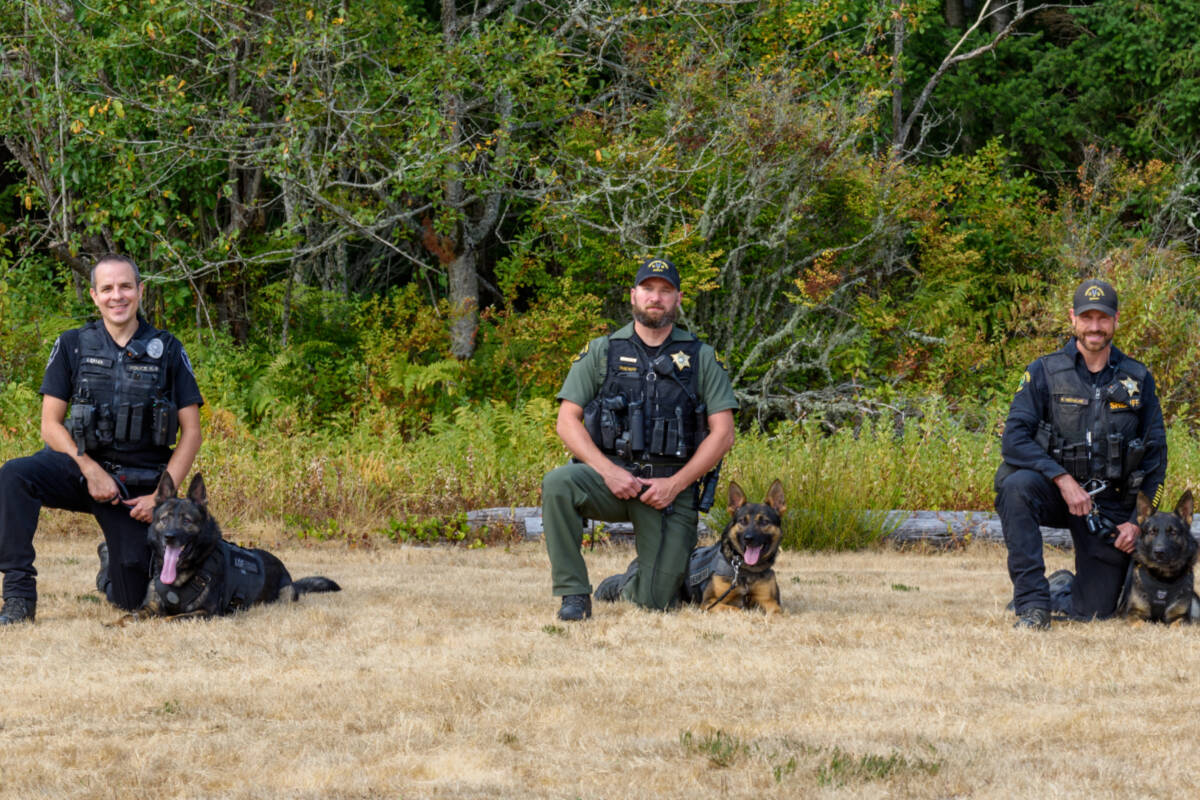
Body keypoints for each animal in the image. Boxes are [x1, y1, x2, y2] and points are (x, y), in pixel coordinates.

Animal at [111, 472, 340, 628]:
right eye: (164, 519)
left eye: (187, 521)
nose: (169, 537)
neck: (180, 578)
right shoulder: (150, 607)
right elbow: (129, 615)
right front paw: (113, 624)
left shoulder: (206, 612)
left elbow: (168, 619)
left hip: (284, 596)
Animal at [696, 482, 787, 614]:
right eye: (743, 521)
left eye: (764, 522)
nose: (748, 538)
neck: (746, 570)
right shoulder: (710, 603)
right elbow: (736, 609)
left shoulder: (769, 601)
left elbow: (776, 611)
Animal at [1123, 489, 1200, 623]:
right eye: (1152, 532)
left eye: (1173, 532)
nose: (1159, 552)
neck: (1162, 578)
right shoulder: (1133, 613)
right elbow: (1140, 624)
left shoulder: (1180, 617)